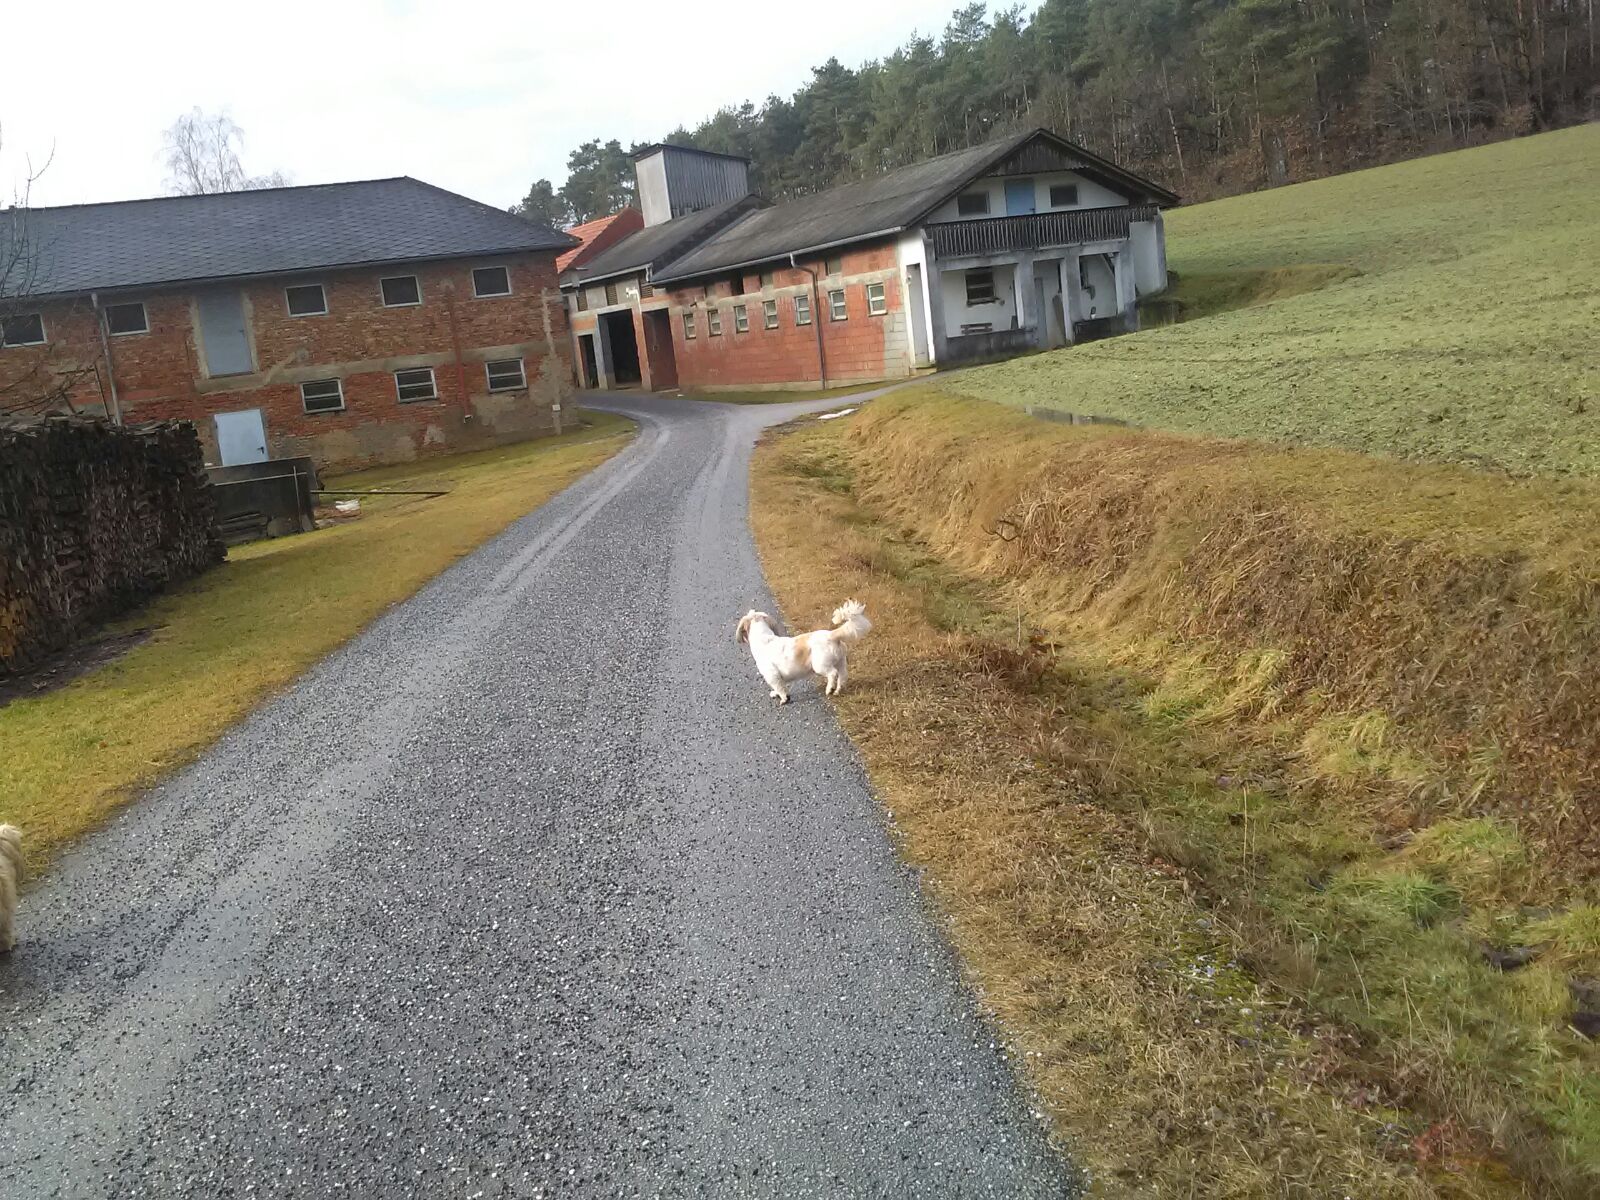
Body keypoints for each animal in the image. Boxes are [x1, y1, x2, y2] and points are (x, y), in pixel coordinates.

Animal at [736, 600, 872, 704]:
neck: (763, 639)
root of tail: (832, 635)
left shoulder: (772, 675)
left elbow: (780, 688)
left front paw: (784, 699)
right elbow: (780, 686)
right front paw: (775, 694)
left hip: (820, 665)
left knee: (833, 674)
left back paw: (829, 689)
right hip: (841, 662)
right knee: (842, 676)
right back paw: (837, 690)